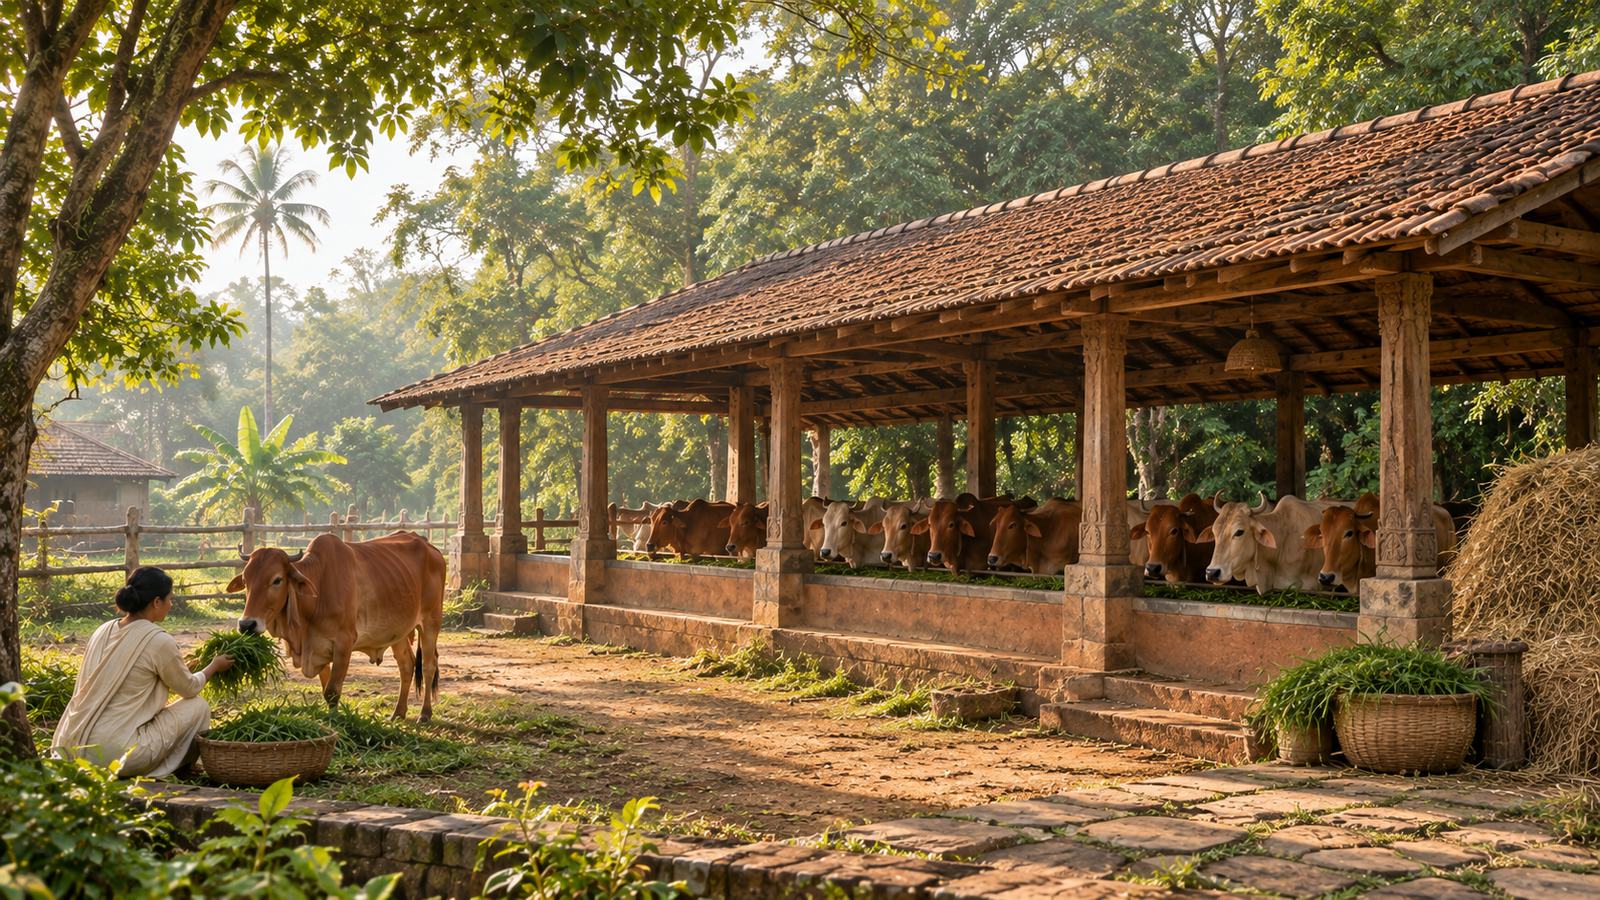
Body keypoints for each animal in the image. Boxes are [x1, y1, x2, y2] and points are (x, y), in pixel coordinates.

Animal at [232, 531, 445, 721]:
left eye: (277, 580)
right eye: (245, 579)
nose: (247, 624)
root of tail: (430, 547)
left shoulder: (344, 644)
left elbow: (332, 691)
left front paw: (336, 723)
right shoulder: (318, 649)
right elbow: (326, 688)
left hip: (430, 623)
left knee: (428, 666)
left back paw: (425, 714)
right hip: (397, 632)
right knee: (406, 665)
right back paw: (398, 713)